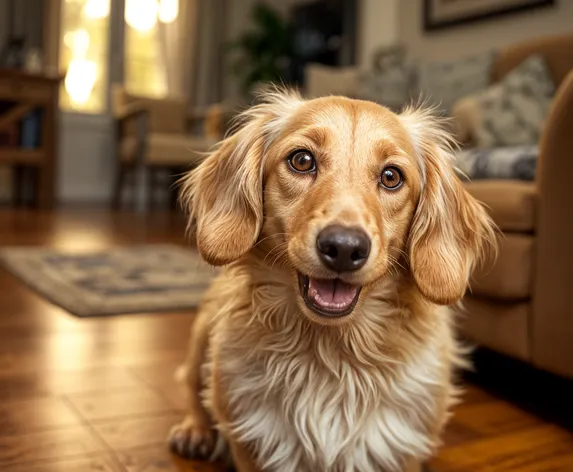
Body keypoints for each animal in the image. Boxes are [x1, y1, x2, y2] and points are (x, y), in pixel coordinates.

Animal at [166, 89, 496, 472]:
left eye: (391, 177)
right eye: (302, 160)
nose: (344, 247)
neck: (330, 354)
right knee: (190, 385)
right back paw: (195, 430)